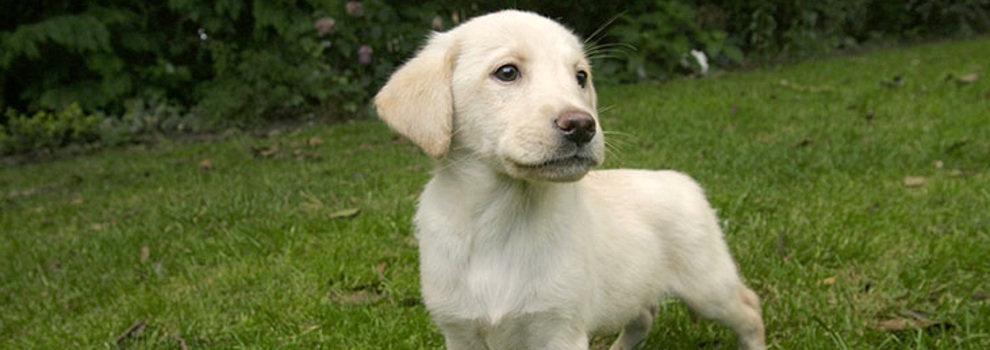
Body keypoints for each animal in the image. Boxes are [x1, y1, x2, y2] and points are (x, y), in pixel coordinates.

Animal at [372, 9, 768, 348]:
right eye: (507, 72)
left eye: (580, 77)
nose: (582, 126)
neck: (502, 215)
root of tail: (680, 179)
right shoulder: (459, 331)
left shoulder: (560, 328)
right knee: (643, 315)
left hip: (707, 283)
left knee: (749, 308)